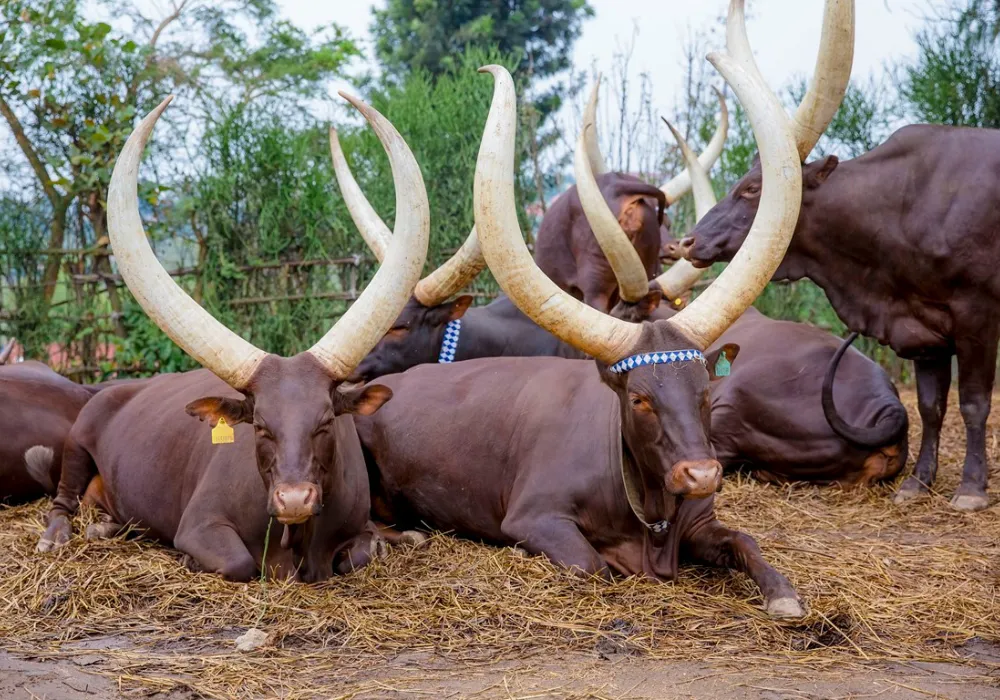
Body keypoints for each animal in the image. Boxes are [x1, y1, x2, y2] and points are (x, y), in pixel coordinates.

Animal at [36, 92, 430, 582]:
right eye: (259, 425)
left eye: (325, 423)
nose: (294, 499)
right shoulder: (200, 526)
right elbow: (238, 562)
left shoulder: (353, 530)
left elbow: (359, 553)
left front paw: (386, 541)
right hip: (76, 441)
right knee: (63, 500)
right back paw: (56, 536)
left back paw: (108, 526)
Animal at [357, 0, 849, 618]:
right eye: (639, 399)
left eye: (706, 392)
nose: (701, 473)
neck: (649, 510)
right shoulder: (536, 519)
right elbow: (594, 568)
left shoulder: (704, 523)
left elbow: (747, 541)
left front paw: (783, 595)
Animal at [676, 42, 996, 513]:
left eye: (752, 189)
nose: (688, 241)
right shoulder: (924, 329)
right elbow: (931, 405)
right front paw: (917, 484)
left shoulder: (976, 314)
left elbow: (973, 403)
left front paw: (972, 489)